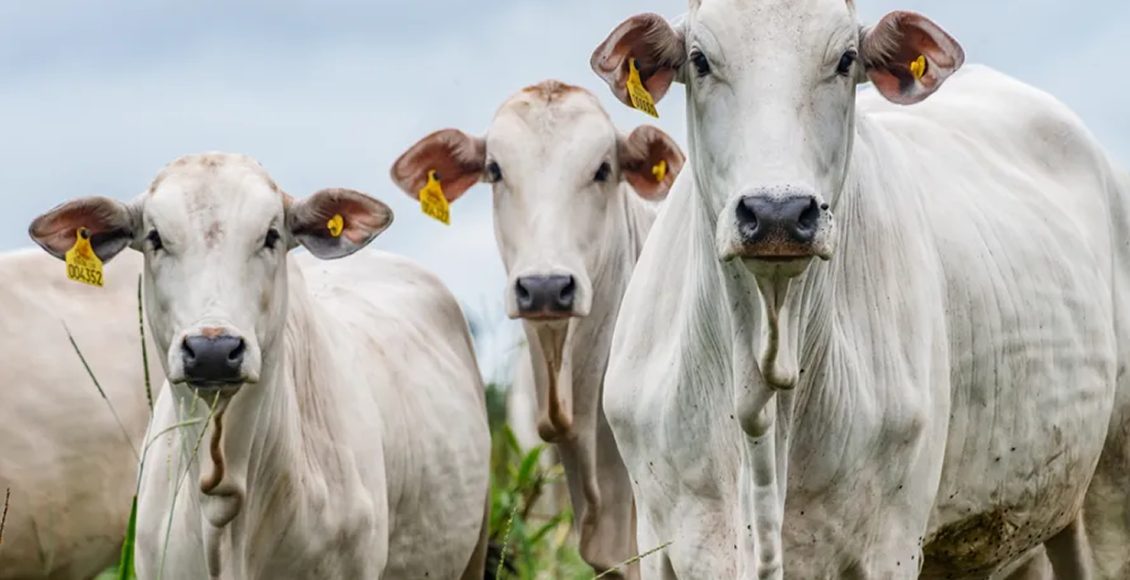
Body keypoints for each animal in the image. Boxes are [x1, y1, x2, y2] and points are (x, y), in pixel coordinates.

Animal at [592, 2, 1130, 576]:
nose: (778, 214)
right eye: (700, 59)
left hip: (1106, 497)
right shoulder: (660, 537)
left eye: (846, 58)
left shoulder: (891, 542)